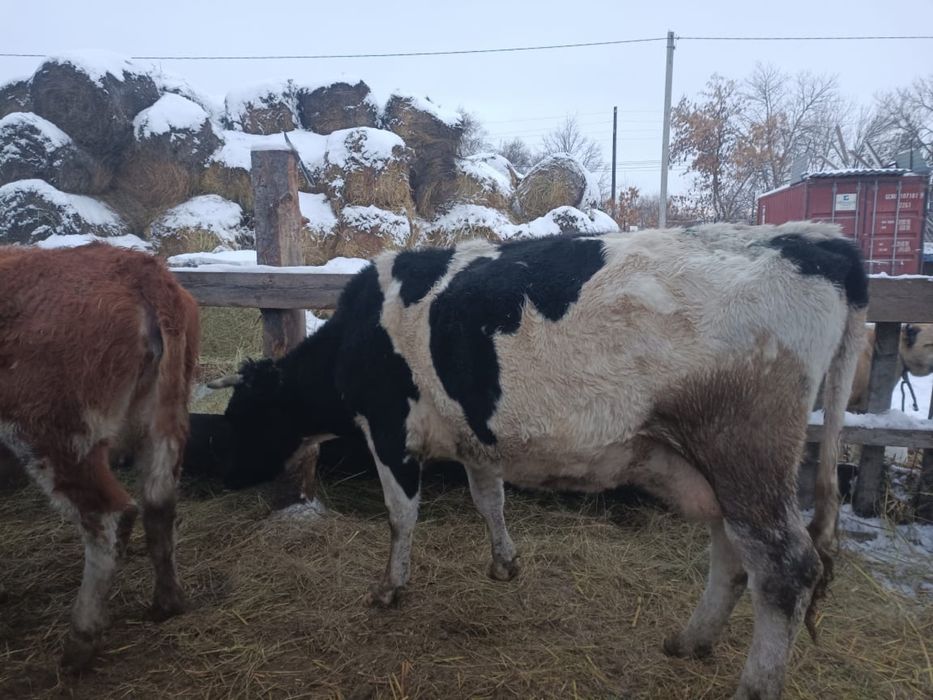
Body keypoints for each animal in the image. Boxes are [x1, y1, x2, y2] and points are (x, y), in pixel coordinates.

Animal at [0, 243, 199, 669]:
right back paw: (167, 603)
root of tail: (140, 269)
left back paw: (81, 640)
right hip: (164, 422)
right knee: (159, 507)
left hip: (52, 434)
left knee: (110, 515)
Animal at [212, 222, 867, 700]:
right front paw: (504, 562)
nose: (221, 476)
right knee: (732, 555)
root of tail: (817, 241)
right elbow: (489, 499)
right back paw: (690, 640)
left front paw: (390, 587)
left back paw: (752, 686)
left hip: (744, 455)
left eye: (241, 416)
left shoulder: (389, 429)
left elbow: (401, 517)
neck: (358, 333)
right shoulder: (475, 437)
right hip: (716, 469)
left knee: (784, 570)